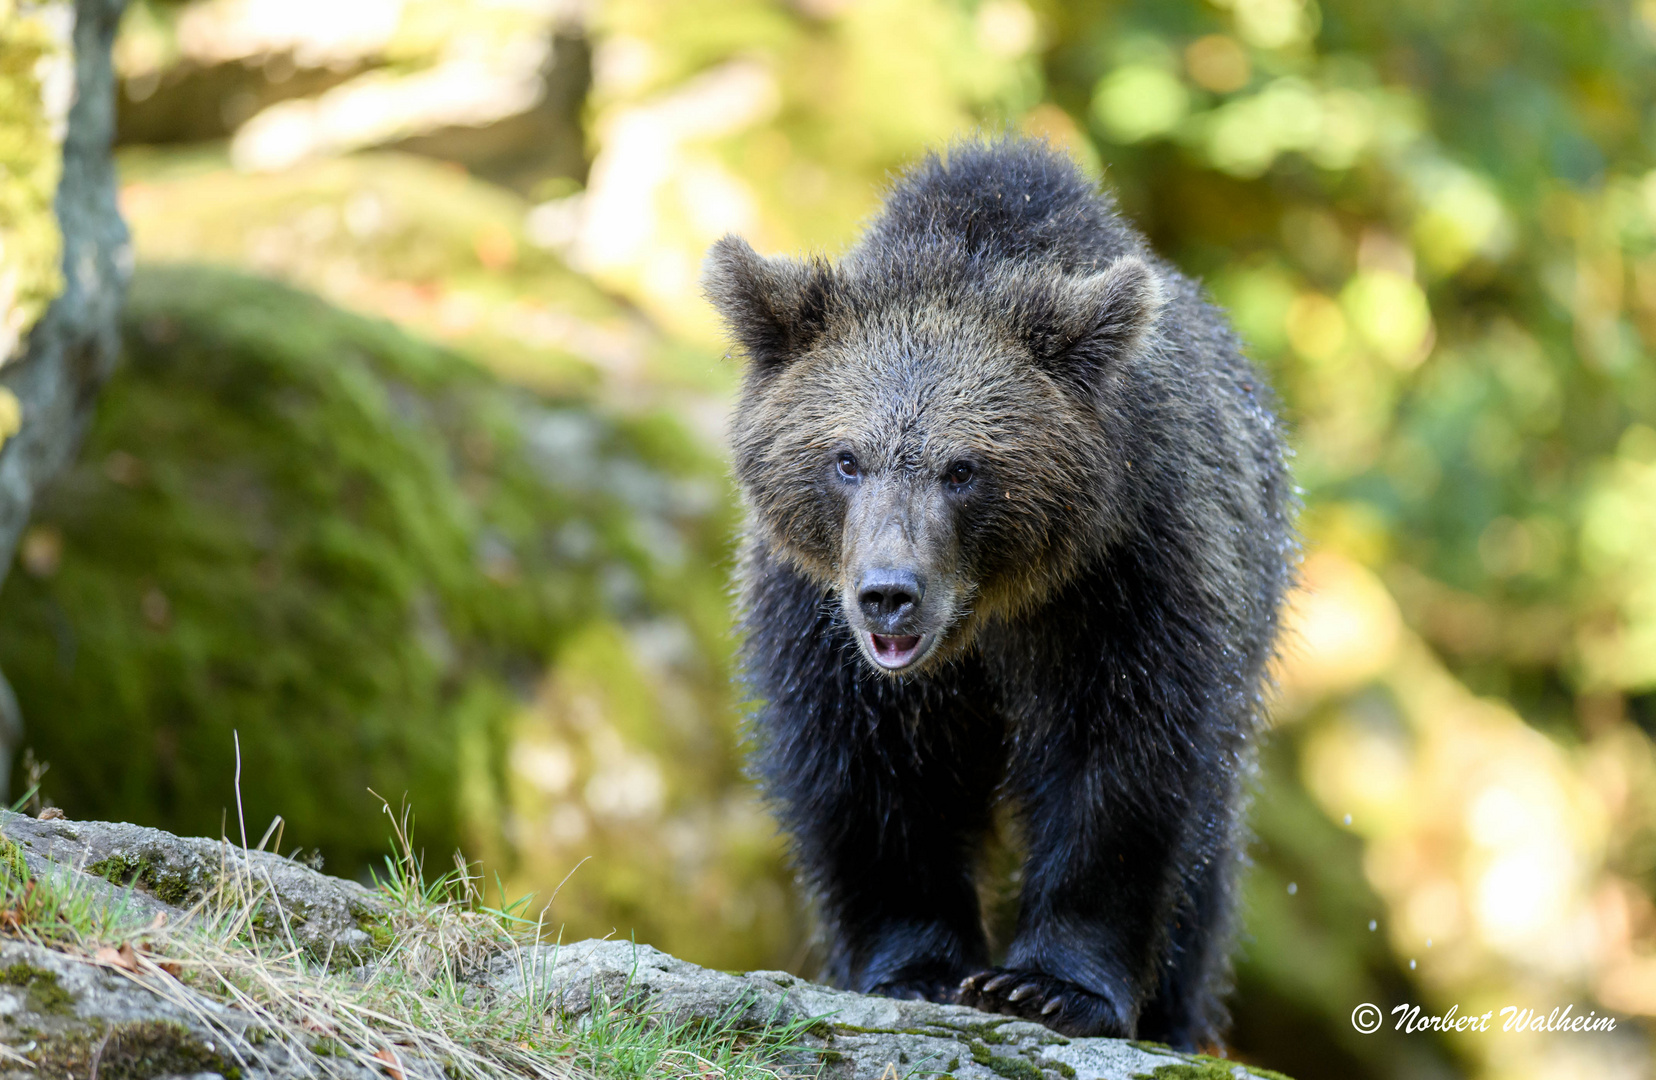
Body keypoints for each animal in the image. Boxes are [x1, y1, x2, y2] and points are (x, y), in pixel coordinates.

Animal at [698, 137, 1291, 1053]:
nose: (889, 595)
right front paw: (920, 966)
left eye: (963, 468)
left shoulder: (1129, 580)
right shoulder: (815, 613)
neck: (988, 620)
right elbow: (868, 773)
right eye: (845, 458)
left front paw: (1050, 986)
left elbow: (1120, 765)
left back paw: (1177, 1016)